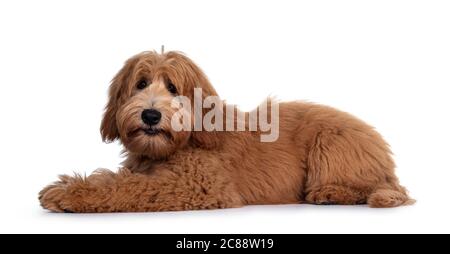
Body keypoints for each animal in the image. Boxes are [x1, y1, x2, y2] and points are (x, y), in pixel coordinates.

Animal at [39, 50, 414, 212]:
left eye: (172, 87)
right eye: (141, 83)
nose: (150, 114)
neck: (185, 141)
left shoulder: (195, 185)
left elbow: (128, 188)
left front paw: (68, 194)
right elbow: (118, 179)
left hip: (331, 143)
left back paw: (330, 193)